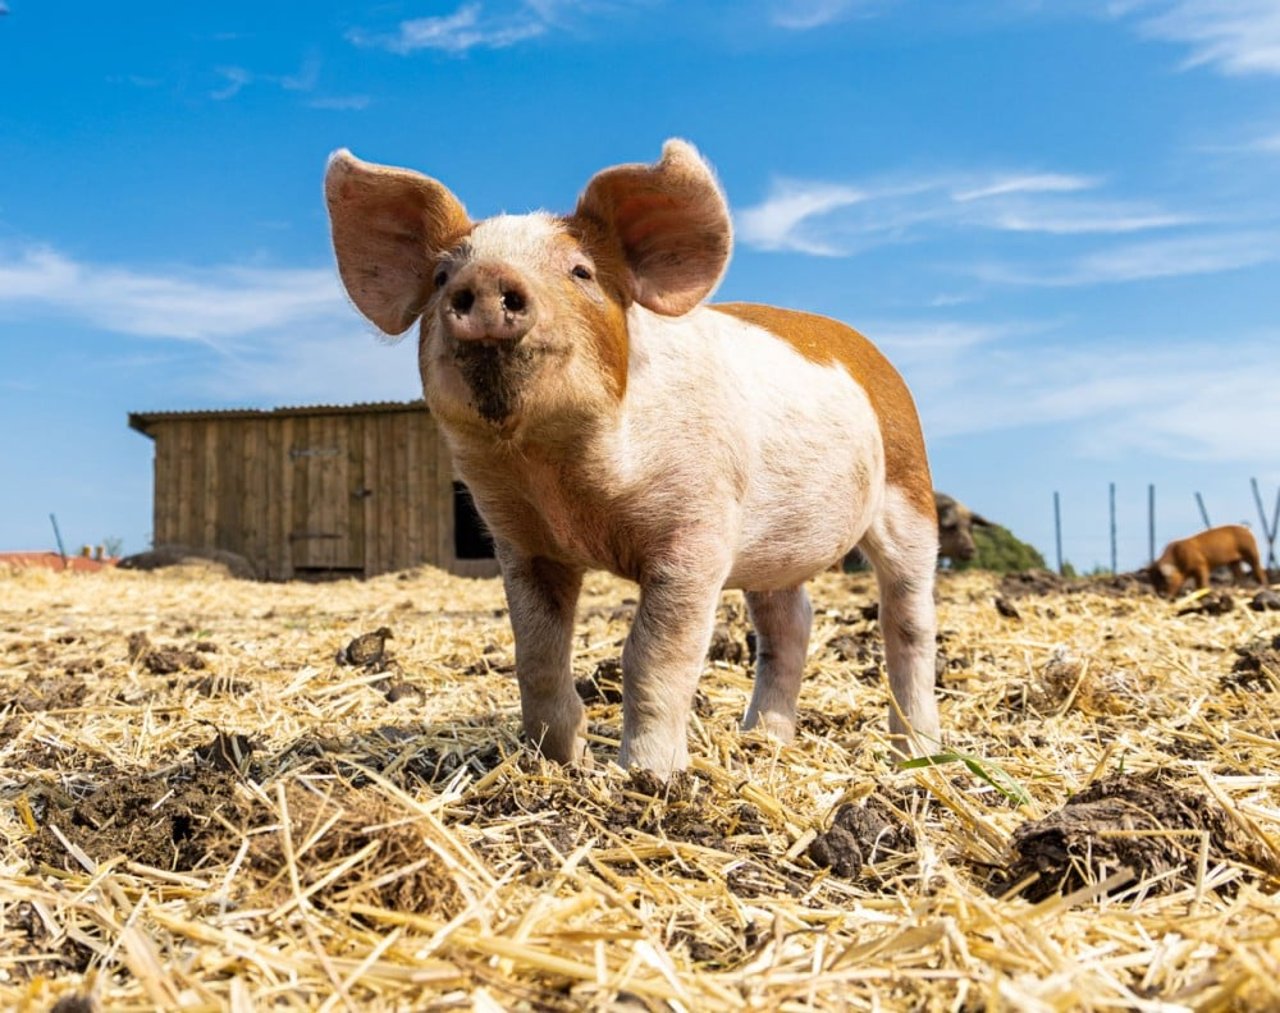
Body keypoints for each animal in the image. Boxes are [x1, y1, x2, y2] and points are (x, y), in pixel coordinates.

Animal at [325, 140, 947, 778]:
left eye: (581, 271)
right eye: (442, 275)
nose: (487, 276)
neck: (561, 476)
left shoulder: (695, 530)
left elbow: (652, 655)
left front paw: (646, 776)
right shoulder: (521, 541)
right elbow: (537, 655)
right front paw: (558, 764)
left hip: (908, 484)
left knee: (909, 617)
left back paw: (917, 752)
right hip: (773, 544)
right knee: (790, 622)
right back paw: (762, 743)